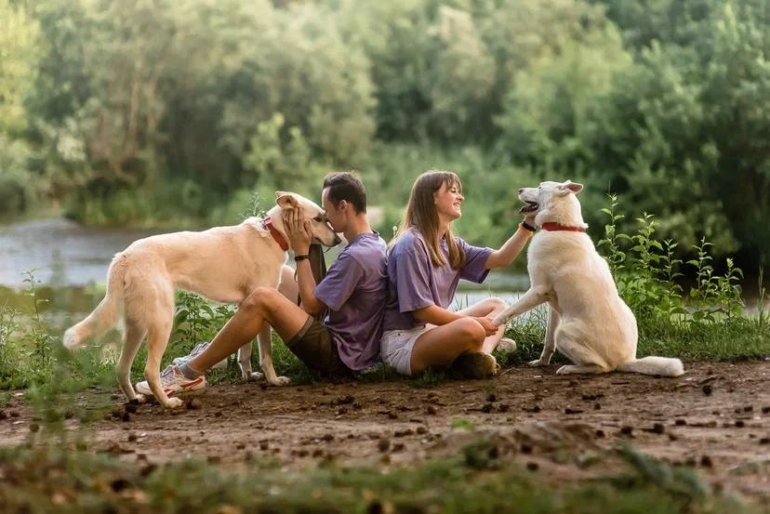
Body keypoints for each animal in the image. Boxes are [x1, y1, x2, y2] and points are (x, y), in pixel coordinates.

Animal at [64, 190, 340, 406]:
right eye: (319, 218)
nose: (338, 239)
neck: (273, 235)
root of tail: (125, 256)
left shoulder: (247, 303)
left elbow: (244, 351)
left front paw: (248, 376)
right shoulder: (263, 303)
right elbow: (266, 354)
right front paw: (273, 380)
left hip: (136, 327)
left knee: (121, 369)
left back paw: (135, 399)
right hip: (161, 323)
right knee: (149, 371)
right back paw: (168, 403)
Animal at [488, 180, 680, 376]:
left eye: (540, 187)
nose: (519, 190)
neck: (561, 226)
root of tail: (626, 360)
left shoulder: (537, 290)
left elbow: (509, 311)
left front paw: (490, 323)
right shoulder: (552, 304)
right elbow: (548, 340)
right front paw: (542, 362)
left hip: (565, 333)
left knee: (601, 367)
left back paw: (570, 368)